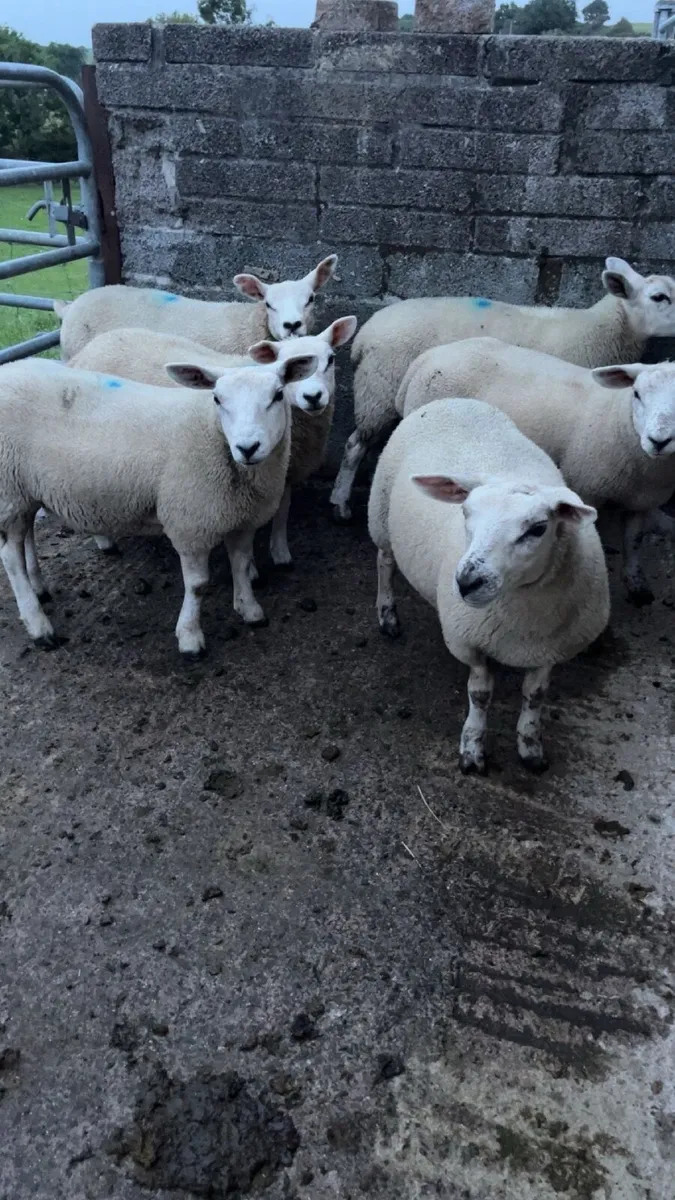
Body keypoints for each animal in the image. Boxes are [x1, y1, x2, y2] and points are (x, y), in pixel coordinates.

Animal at [0, 351, 317, 656]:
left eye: (278, 395)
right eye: (217, 398)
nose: (247, 447)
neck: (213, 433)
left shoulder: (242, 518)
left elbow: (241, 564)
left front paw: (249, 610)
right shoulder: (191, 522)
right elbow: (198, 585)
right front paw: (190, 638)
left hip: (22, 491)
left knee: (26, 537)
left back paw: (38, 588)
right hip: (8, 491)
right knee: (10, 558)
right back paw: (39, 626)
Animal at [68, 315, 358, 566]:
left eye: (330, 359)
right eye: (290, 365)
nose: (313, 397)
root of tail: (89, 349)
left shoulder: (283, 467)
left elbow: (282, 509)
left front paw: (280, 552)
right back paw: (104, 541)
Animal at [332, 257, 675, 521]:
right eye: (659, 297)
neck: (599, 331)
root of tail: (364, 335)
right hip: (377, 389)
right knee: (354, 446)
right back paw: (340, 503)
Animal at [368, 397, 610, 774]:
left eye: (538, 529)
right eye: (466, 513)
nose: (467, 582)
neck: (524, 620)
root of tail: (453, 400)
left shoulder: (552, 649)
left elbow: (535, 696)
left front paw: (530, 745)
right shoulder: (468, 642)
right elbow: (480, 694)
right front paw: (472, 747)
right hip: (380, 515)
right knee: (385, 562)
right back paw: (387, 613)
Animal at [395, 337, 675, 606]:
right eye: (636, 393)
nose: (658, 440)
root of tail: (429, 356)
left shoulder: (640, 501)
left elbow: (634, 541)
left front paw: (636, 582)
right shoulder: (586, 488)